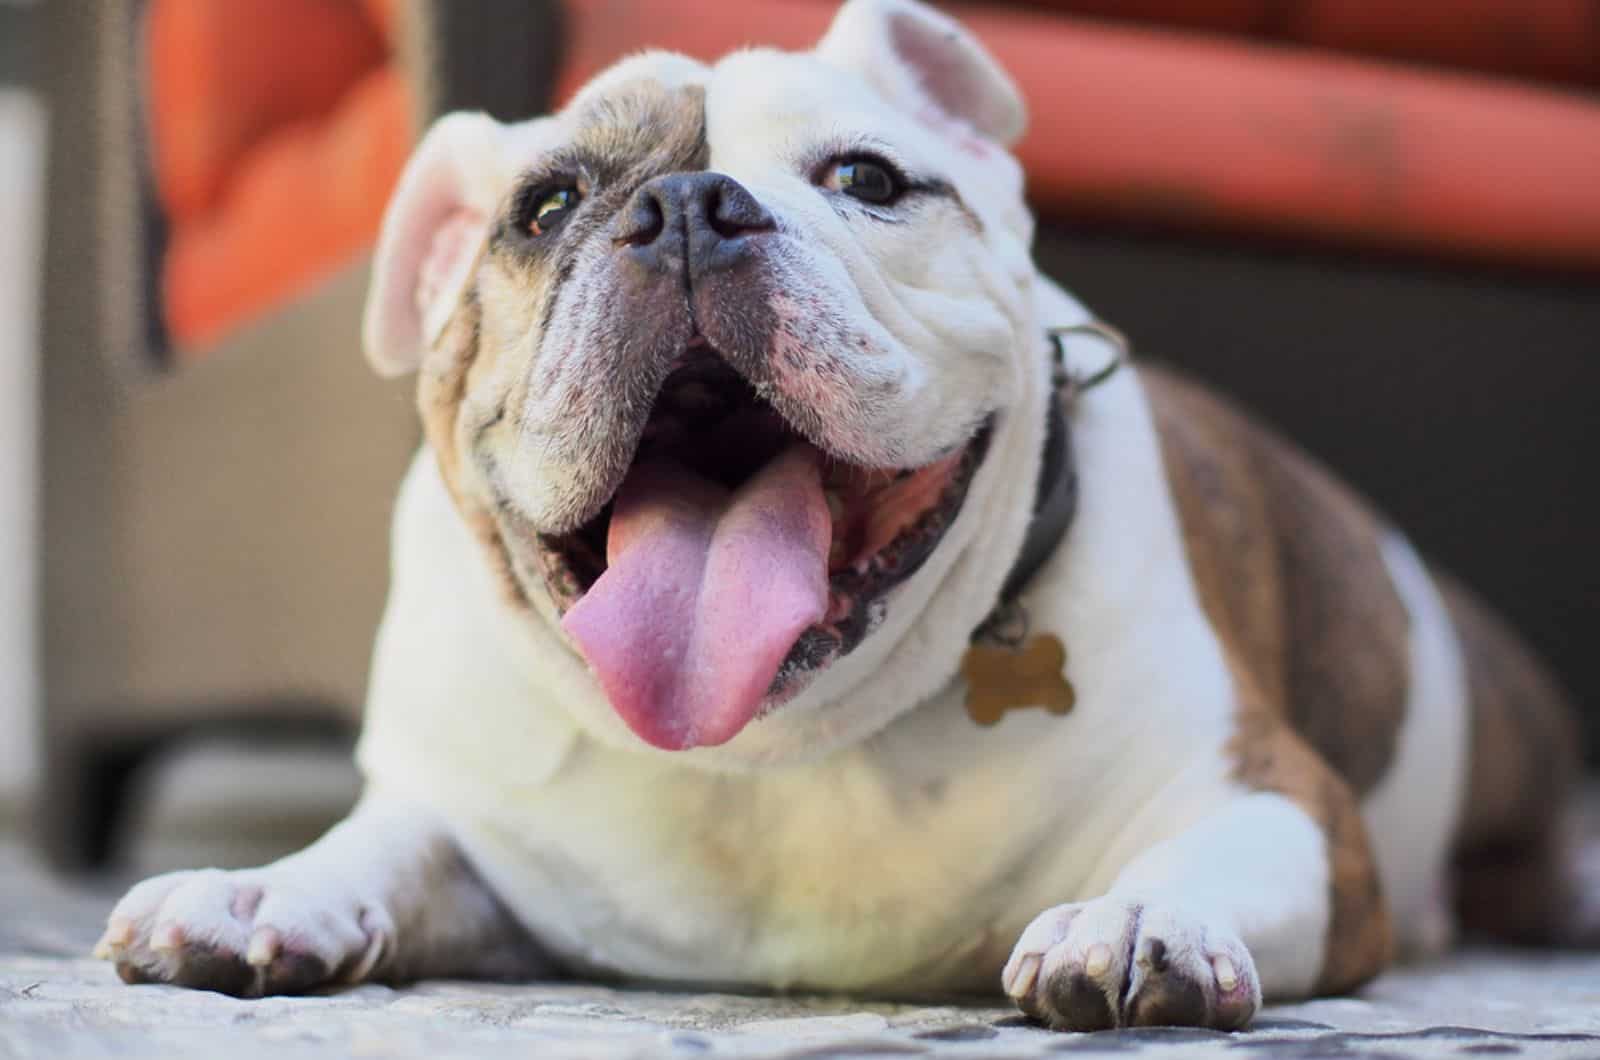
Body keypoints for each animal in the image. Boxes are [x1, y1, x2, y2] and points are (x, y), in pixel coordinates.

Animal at [96, 0, 1587, 1031]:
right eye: (546, 206)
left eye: (870, 180)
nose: (685, 204)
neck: (777, 746)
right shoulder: (471, 828)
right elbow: (388, 839)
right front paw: (262, 888)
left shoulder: (1282, 801)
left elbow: (1209, 847)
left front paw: (1139, 911)